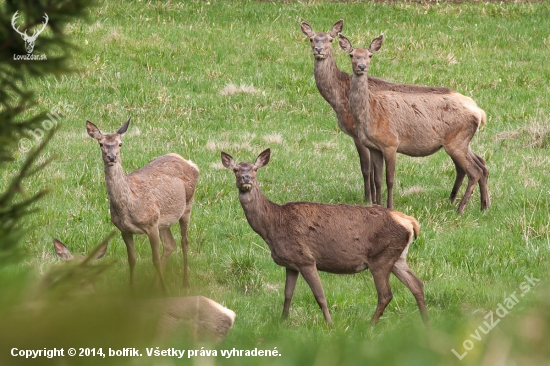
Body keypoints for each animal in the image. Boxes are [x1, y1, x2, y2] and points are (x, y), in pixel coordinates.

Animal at [85, 118, 199, 294]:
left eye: (120, 144)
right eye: (101, 144)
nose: (111, 157)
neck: (129, 206)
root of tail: (189, 162)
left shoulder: (151, 224)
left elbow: (155, 260)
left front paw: (166, 291)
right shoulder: (124, 230)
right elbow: (131, 260)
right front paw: (131, 290)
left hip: (187, 204)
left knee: (184, 242)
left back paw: (185, 283)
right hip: (163, 220)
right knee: (170, 244)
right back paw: (153, 286)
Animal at [223, 149, 432, 326]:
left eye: (255, 168)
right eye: (235, 169)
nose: (246, 178)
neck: (272, 226)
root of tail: (409, 222)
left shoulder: (306, 258)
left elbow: (320, 296)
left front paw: (329, 324)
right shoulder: (291, 264)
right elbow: (288, 294)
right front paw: (283, 320)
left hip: (381, 257)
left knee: (386, 294)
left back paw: (370, 325)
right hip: (398, 257)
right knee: (417, 284)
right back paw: (426, 324)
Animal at [304, 20, 454, 204]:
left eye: (330, 39)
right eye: (311, 39)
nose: (319, 50)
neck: (339, 98)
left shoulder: (358, 133)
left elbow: (366, 168)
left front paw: (368, 199)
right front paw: (374, 198)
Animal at [340, 33, 492, 214]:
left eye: (370, 55)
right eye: (351, 55)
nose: (361, 66)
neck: (369, 113)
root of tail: (480, 112)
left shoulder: (391, 143)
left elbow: (389, 179)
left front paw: (390, 206)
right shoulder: (374, 147)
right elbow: (377, 179)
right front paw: (377, 205)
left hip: (456, 140)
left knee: (474, 170)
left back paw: (460, 209)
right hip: (462, 141)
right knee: (482, 164)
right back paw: (484, 206)